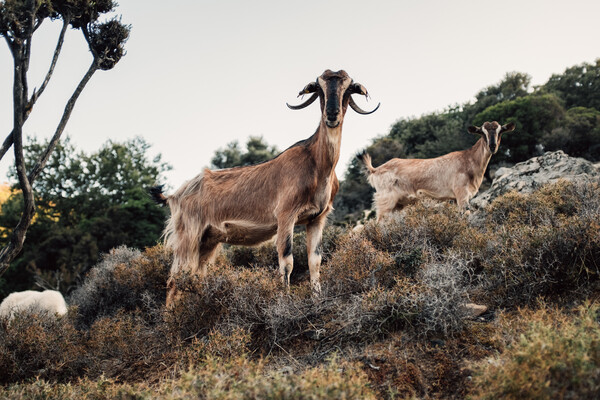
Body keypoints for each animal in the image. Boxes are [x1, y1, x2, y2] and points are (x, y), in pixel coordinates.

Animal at [152, 69, 378, 306]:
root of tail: (175, 195)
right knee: (175, 278)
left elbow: (314, 261)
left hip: (209, 240)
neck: (316, 164)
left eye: (348, 88)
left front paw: (317, 299)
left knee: (195, 275)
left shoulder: (317, 219)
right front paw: (286, 302)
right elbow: (287, 261)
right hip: (188, 234)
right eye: (319, 88)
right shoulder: (286, 215)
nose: (332, 115)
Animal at [358, 122, 516, 222]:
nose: (492, 146)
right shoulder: (461, 194)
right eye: (481, 132)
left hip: (398, 205)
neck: (468, 159)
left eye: (500, 131)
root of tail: (375, 169)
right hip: (385, 202)